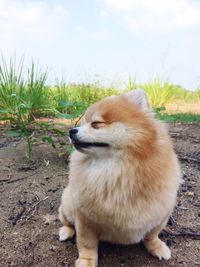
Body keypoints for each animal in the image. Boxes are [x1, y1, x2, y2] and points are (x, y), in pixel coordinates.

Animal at [58, 90, 181, 267]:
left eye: (96, 124)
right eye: (82, 123)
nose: (71, 131)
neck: (117, 172)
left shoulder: (160, 215)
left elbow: (152, 235)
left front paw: (156, 246)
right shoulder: (85, 219)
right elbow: (86, 243)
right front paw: (87, 260)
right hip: (68, 202)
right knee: (66, 221)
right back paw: (65, 231)